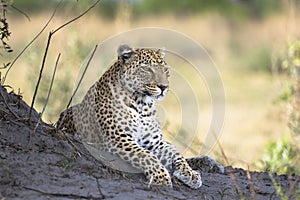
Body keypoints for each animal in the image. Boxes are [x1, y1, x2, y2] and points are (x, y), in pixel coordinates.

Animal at [57, 44, 224, 189]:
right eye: (146, 69)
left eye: (165, 69)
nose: (164, 87)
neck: (142, 104)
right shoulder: (119, 139)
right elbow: (146, 156)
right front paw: (161, 177)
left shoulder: (155, 143)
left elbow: (176, 154)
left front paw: (190, 174)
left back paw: (210, 163)